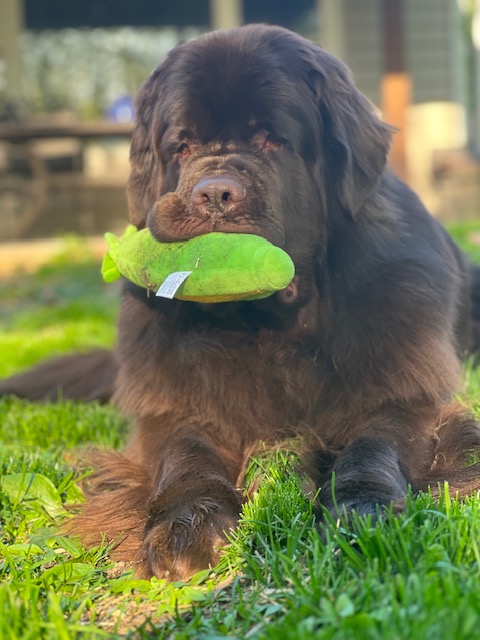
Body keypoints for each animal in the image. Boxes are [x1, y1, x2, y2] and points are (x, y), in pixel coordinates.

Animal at [2, 25, 480, 580]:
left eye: (272, 139)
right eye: (182, 148)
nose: (214, 194)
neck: (270, 329)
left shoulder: (404, 388)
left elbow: (375, 443)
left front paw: (362, 509)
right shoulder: (174, 402)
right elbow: (185, 453)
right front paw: (188, 523)